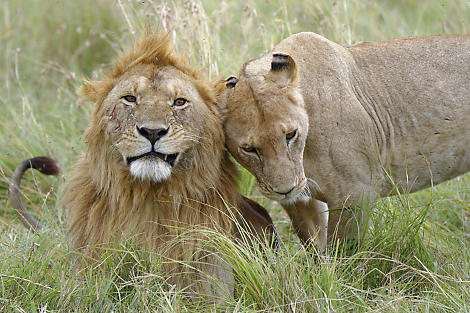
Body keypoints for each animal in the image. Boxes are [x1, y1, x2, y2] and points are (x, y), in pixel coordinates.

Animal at [219, 32, 470, 249]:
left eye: (290, 135)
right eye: (249, 149)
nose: (285, 189)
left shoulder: (355, 194)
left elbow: (343, 252)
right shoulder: (300, 202)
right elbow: (317, 248)